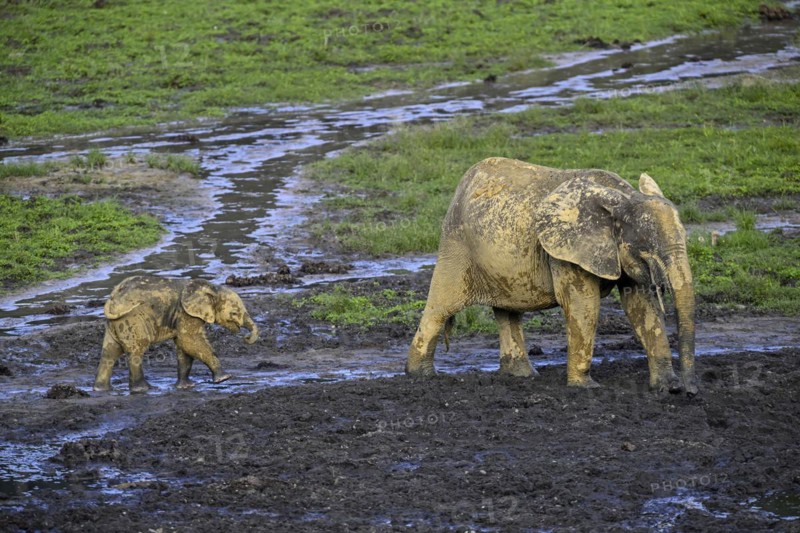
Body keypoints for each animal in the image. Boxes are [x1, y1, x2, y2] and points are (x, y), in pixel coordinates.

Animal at [93, 275, 259, 393]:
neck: (212, 287)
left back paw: (101, 390)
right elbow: (190, 341)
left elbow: (183, 347)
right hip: (133, 321)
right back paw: (145, 389)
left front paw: (186, 387)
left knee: (109, 352)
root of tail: (112, 300)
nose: (246, 337)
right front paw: (224, 378)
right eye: (234, 313)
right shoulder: (185, 312)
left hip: (116, 323)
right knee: (136, 351)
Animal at [406, 157, 698, 396]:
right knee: (440, 307)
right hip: (455, 245)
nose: (691, 391)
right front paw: (585, 387)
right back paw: (420, 375)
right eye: (648, 246)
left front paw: (667, 387)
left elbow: (642, 307)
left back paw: (522, 375)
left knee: (508, 311)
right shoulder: (564, 251)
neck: (623, 198)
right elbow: (584, 307)